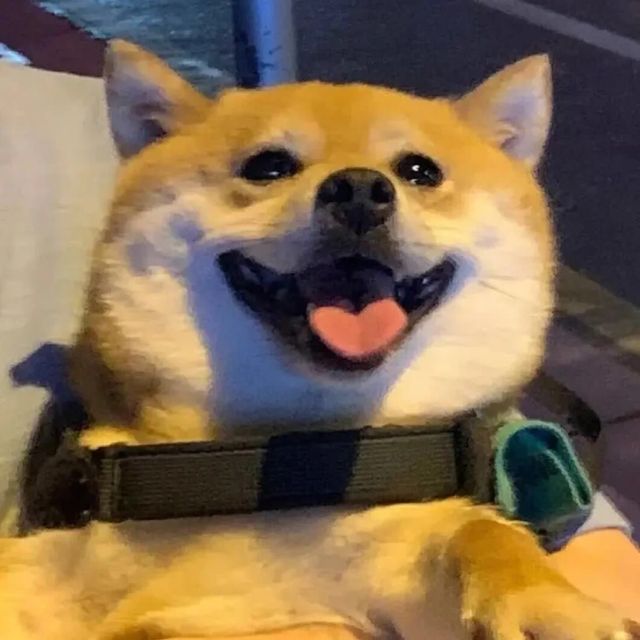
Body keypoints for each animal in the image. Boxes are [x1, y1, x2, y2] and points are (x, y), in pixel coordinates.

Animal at [0, 41, 630, 640]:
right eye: (269, 166)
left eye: (420, 170)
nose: (359, 188)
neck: (276, 463)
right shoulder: (45, 569)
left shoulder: (383, 553)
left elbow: (481, 534)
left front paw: (549, 605)